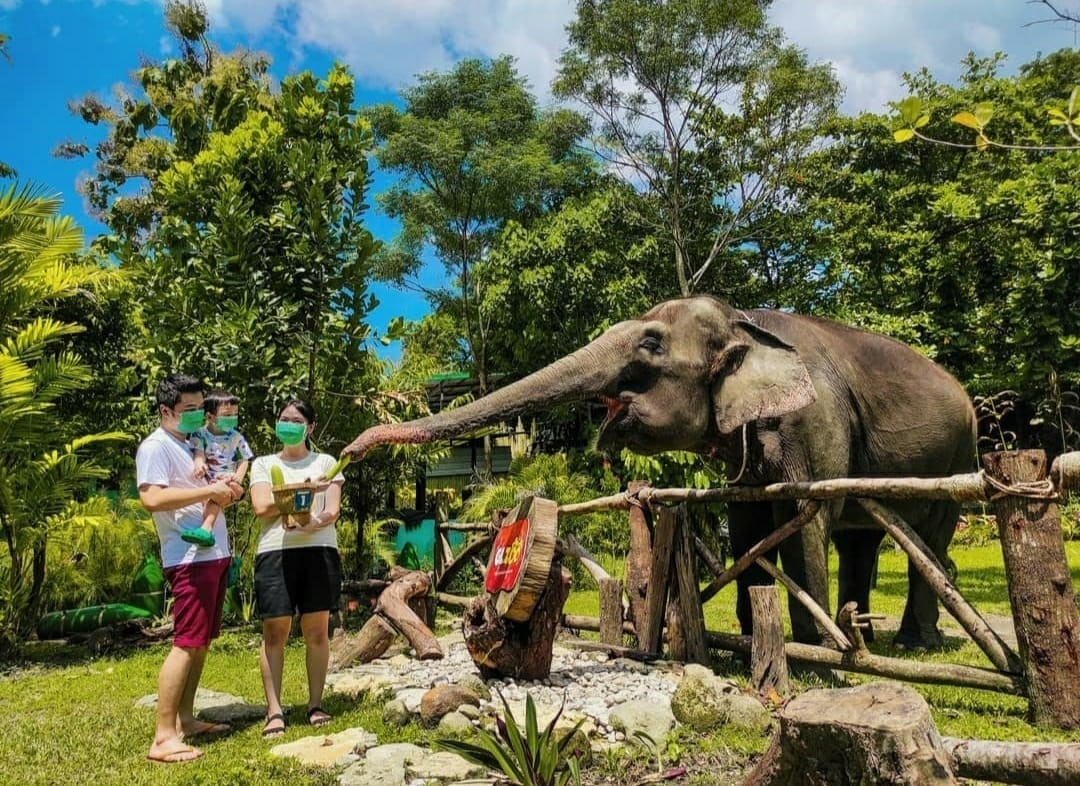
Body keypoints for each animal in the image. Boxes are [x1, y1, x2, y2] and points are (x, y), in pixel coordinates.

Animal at [345, 295, 980, 652]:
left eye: (651, 344)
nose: (353, 447)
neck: (747, 322)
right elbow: (748, 526)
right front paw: (745, 643)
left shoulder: (816, 420)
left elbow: (806, 518)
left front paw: (817, 658)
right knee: (862, 539)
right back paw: (867, 635)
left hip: (959, 456)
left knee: (928, 539)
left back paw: (910, 644)